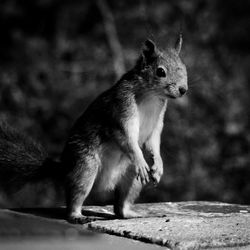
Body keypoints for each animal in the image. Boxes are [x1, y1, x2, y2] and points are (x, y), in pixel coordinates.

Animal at [0, 36, 188, 224]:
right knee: (76, 197)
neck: (151, 96)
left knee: (121, 206)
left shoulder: (157, 123)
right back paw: (78, 216)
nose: (183, 90)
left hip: (131, 177)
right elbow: (127, 138)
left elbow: (153, 143)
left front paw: (158, 166)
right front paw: (141, 160)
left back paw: (131, 213)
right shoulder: (121, 109)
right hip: (85, 167)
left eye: (184, 68)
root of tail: (64, 168)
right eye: (160, 71)